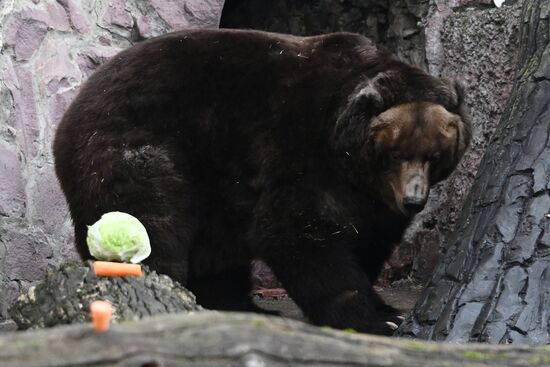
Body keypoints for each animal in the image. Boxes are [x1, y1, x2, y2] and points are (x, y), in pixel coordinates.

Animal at [55, 28, 470, 334]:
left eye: (434, 156)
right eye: (396, 153)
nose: (414, 201)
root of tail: (72, 110)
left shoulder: (372, 197)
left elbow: (370, 237)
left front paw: (385, 308)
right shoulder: (302, 150)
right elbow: (298, 231)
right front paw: (379, 317)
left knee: (213, 246)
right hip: (141, 142)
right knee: (152, 217)